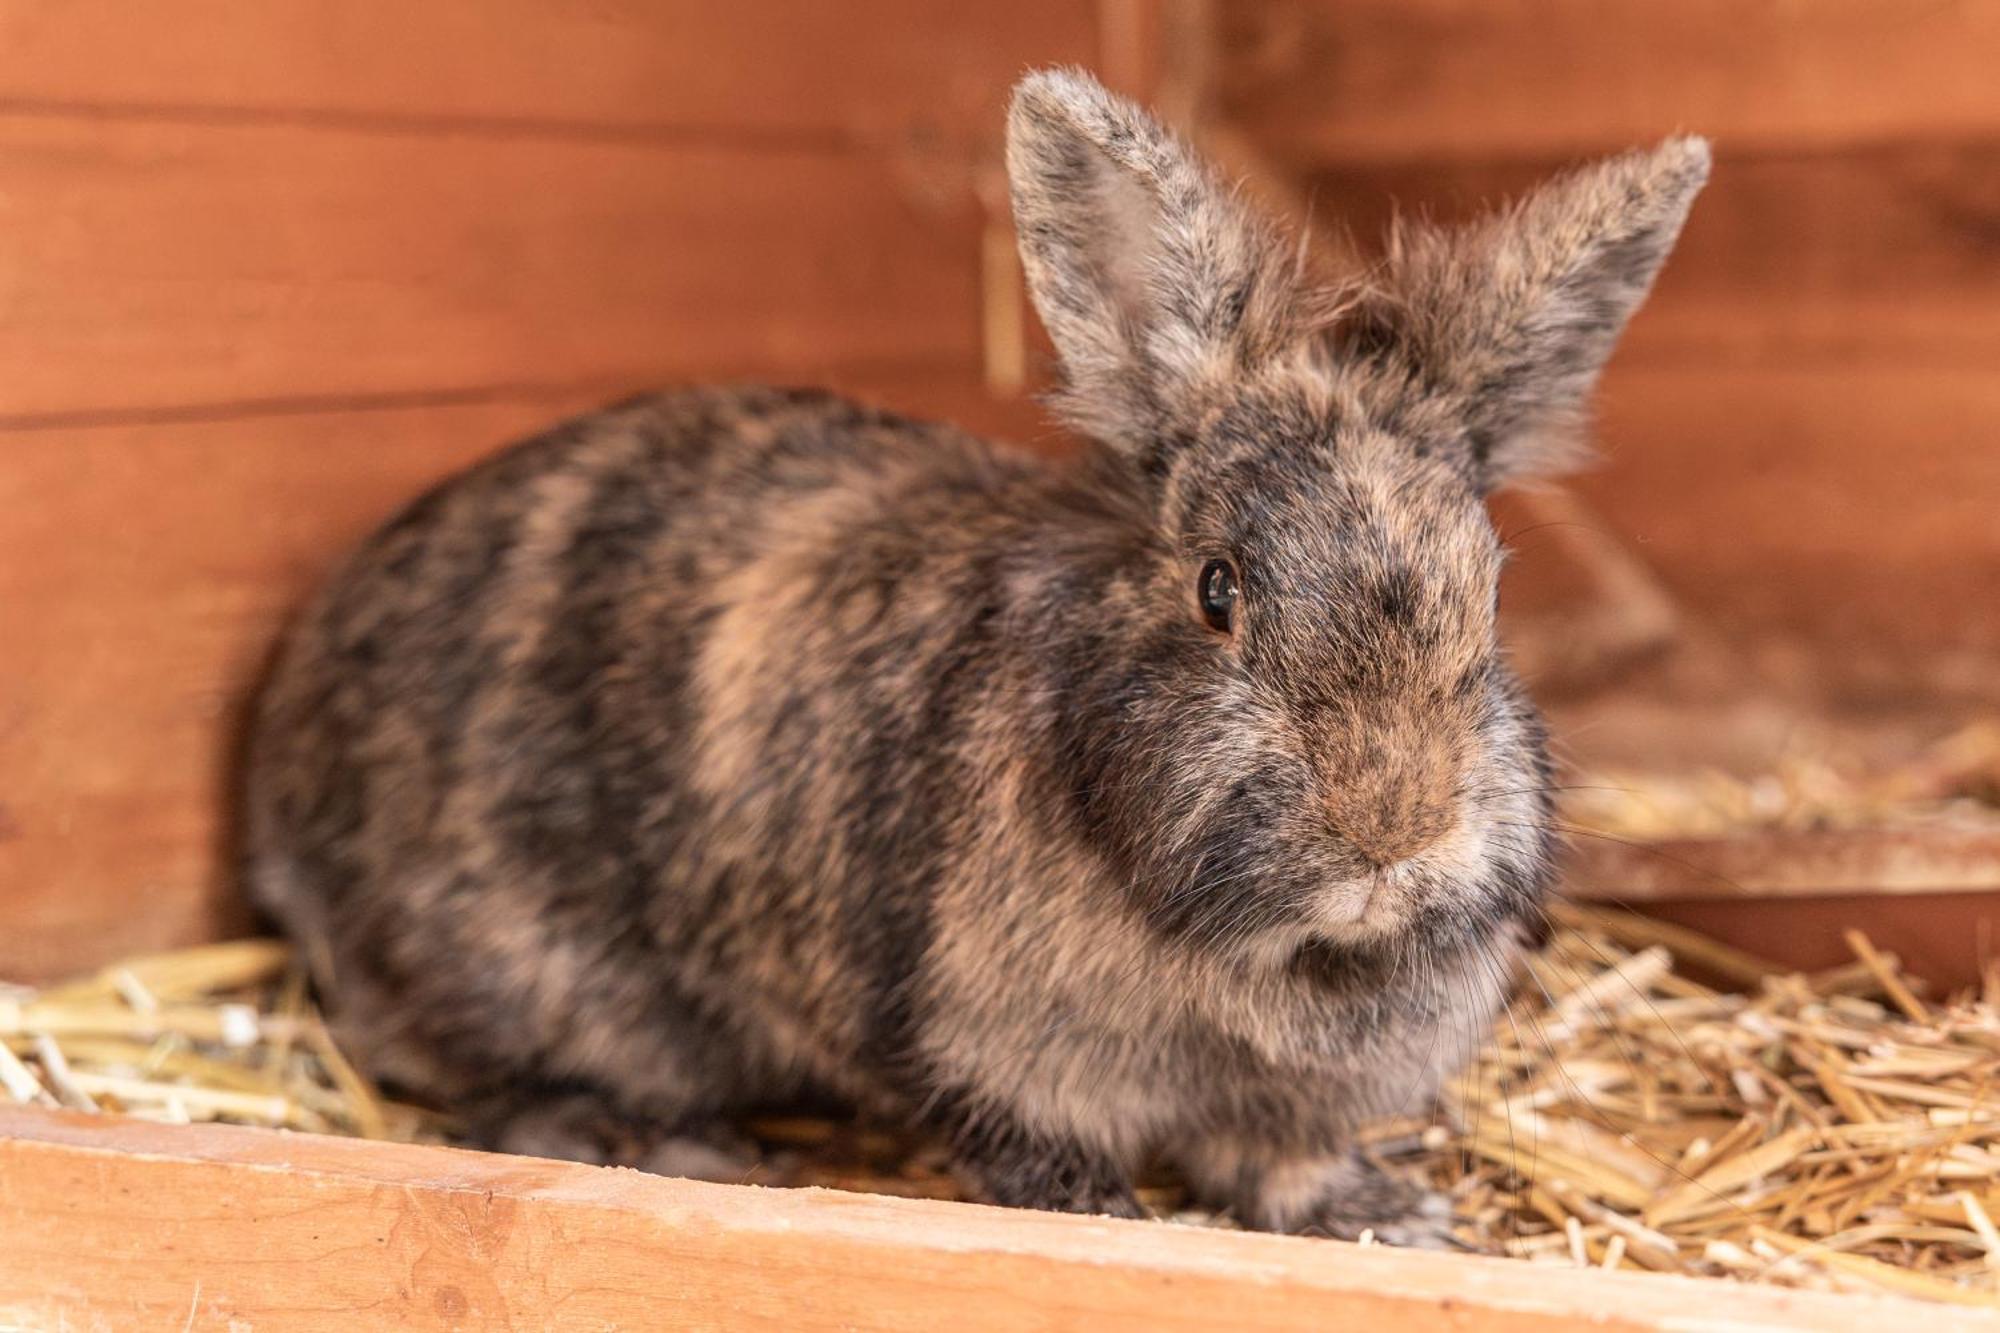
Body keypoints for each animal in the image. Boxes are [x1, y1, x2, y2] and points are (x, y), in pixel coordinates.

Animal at [242, 70, 1712, 1232]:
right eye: (1218, 589)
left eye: (1492, 594)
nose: (1391, 830)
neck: (1273, 957)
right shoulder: (985, 1048)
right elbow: (1031, 1149)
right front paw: (1112, 1220)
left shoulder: (1289, 1103)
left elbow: (1280, 1165)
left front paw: (1384, 1219)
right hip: (518, 968)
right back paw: (683, 1142)